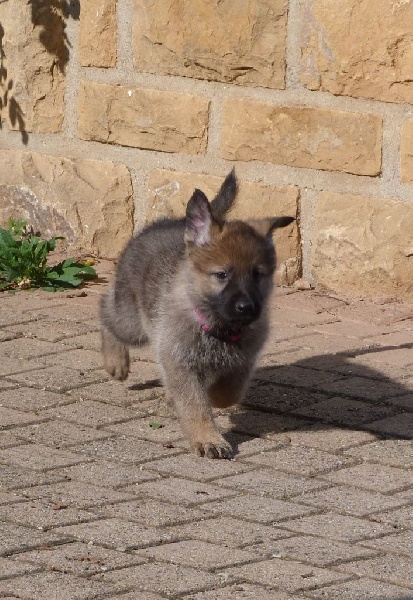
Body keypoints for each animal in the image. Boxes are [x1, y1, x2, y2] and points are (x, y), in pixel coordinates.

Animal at [100, 170, 292, 460]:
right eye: (222, 275)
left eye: (258, 275)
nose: (247, 308)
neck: (218, 327)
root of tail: (177, 221)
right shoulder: (179, 360)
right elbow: (195, 405)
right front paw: (208, 438)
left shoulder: (244, 360)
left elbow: (228, 393)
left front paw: (214, 397)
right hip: (131, 323)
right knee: (105, 310)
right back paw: (116, 362)